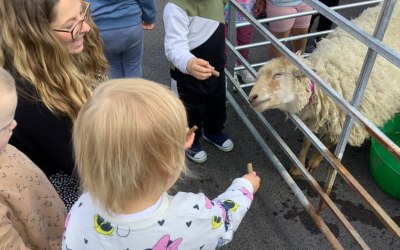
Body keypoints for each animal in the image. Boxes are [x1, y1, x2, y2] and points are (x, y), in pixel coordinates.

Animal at [247, 2, 400, 177]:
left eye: (278, 74)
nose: (251, 97)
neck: (325, 81)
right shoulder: (315, 116)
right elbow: (308, 140)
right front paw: (298, 166)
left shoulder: (347, 121)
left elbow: (330, 145)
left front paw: (314, 162)